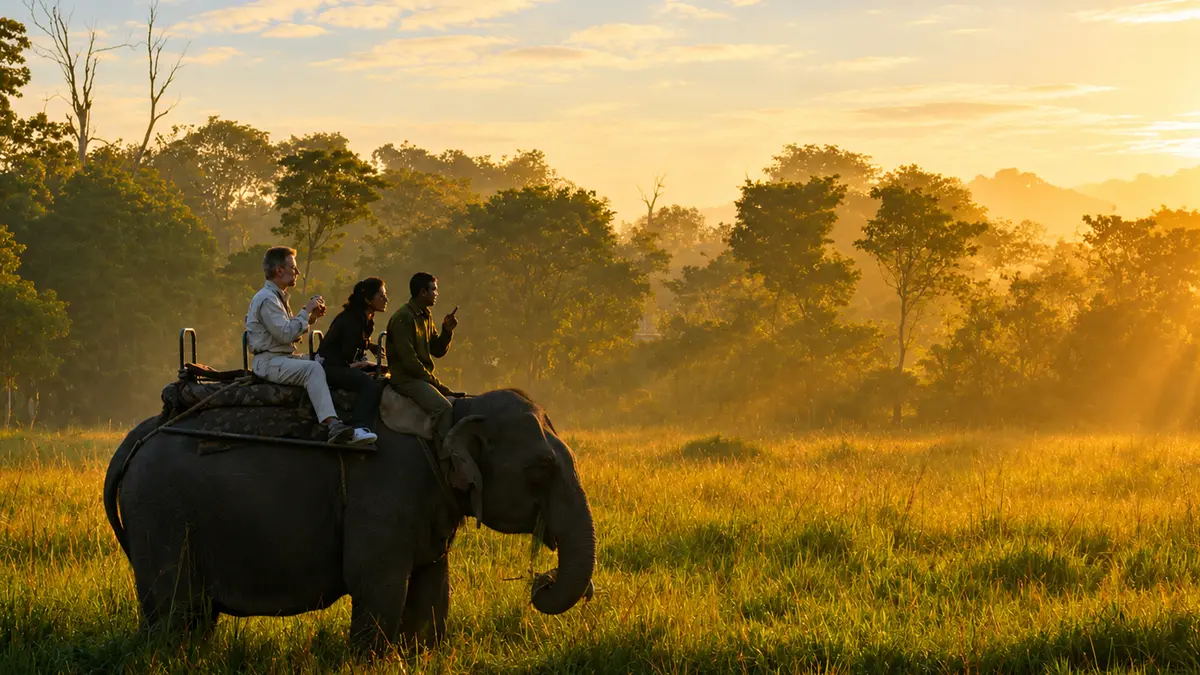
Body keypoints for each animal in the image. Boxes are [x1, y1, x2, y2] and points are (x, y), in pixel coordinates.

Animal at [102, 388, 595, 650]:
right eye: (541, 470)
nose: (542, 581)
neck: (451, 409)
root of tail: (134, 439)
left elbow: (432, 584)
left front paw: (420, 655)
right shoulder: (384, 489)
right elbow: (375, 579)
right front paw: (372, 661)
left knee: (191, 612)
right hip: (160, 512)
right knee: (174, 607)